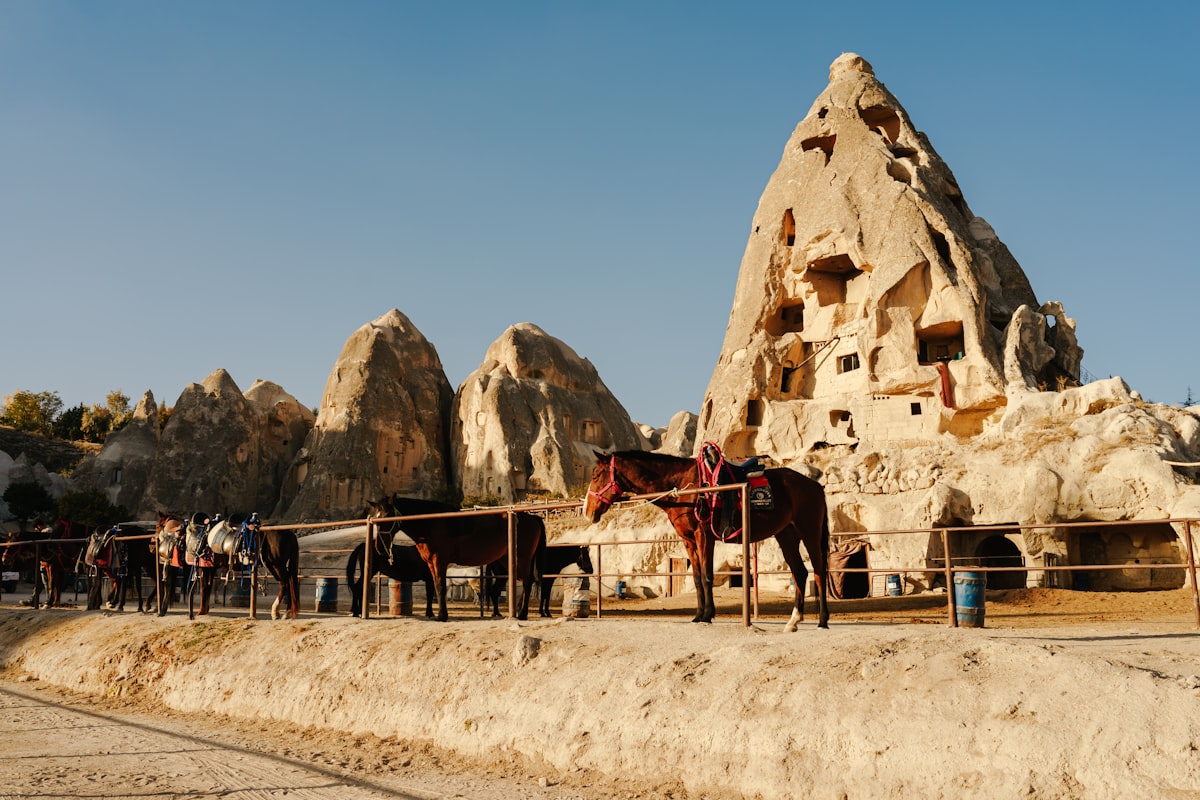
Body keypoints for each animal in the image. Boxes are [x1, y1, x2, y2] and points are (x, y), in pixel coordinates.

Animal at [365, 496, 545, 622]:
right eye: (374, 517)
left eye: (388, 515)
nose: (379, 547)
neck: (431, 523)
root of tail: (532, 518)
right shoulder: (431, 563)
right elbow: (436, 587)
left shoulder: (439, 560)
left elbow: (440, 586)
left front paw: (442, 616)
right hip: (508, 561)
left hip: (522, 558)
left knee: (527, 581)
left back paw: (522, 614)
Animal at [583, 450, 830, 631]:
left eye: (595, 476)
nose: (587, 511)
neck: (686, 489)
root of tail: (814, 486)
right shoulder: (689, 541)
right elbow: (696, 578)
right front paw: (699, 615)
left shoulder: (703, 537)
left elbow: (706, 576)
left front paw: (708, 615)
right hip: (786, 535)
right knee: (800, 573)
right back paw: (793, 621)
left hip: (809, 532)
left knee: (818, 571)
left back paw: (822, 620)